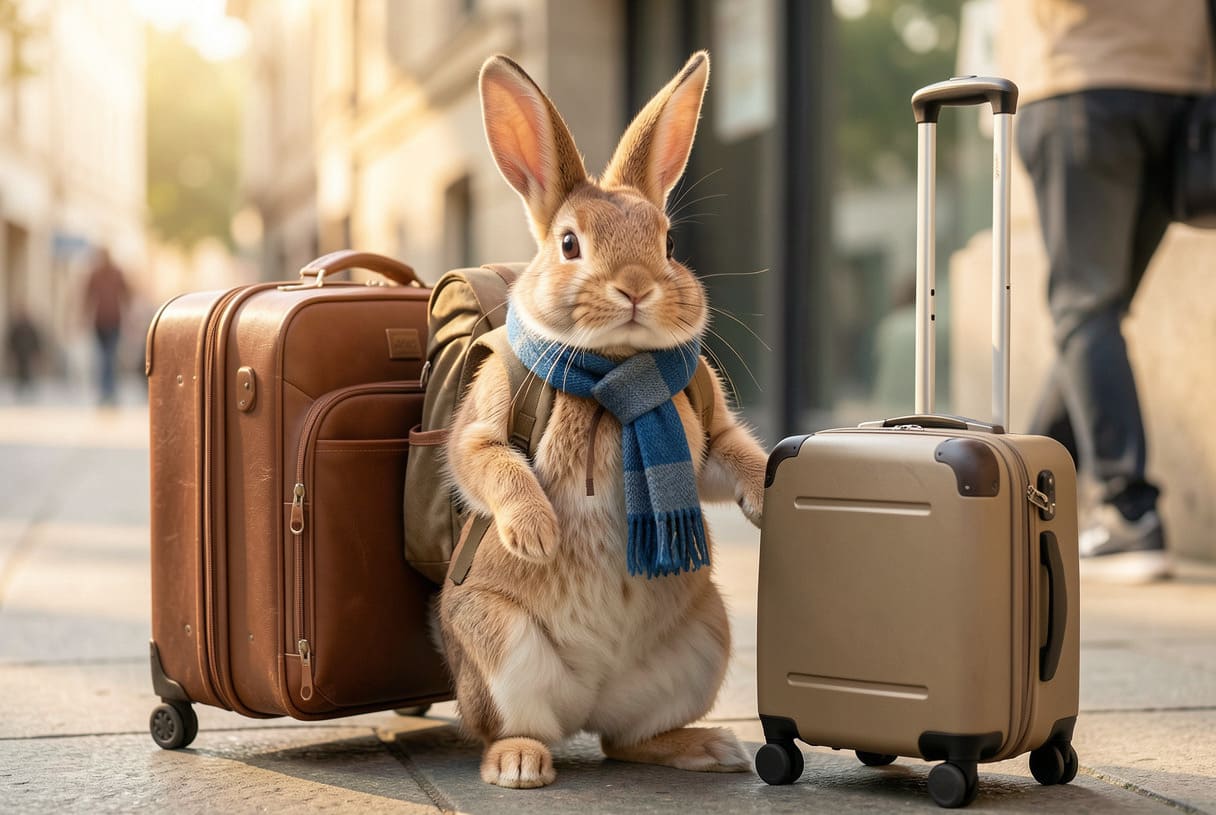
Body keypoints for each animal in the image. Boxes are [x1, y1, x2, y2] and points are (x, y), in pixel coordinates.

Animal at [439, 50, 769, 790]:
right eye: (569, 244)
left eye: (668, 242)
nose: (638, 287)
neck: (614, 371)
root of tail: (589, 696)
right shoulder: (487, 415)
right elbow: (487, 459)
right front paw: (536, 535)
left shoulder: (706, 436)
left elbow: (731, 455)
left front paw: (770, 494)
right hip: (500, 643)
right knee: (513, 728)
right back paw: (519, 765)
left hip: (704, 639)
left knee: (626, 739)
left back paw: (708, 748)